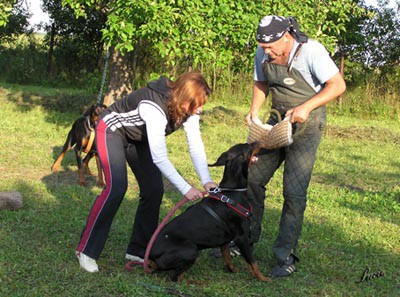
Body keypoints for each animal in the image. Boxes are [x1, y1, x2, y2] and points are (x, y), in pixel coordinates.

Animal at [150, 142, 272, 280]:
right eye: (249, 146)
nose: (259, 142)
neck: (233, 192)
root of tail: (150, 255)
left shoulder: (226, 238)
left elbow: (227, 257)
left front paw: (233, 270)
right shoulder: (242, 238)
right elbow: (252, 261)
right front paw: (263, 278)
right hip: (191, 250)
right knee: (175, 276)